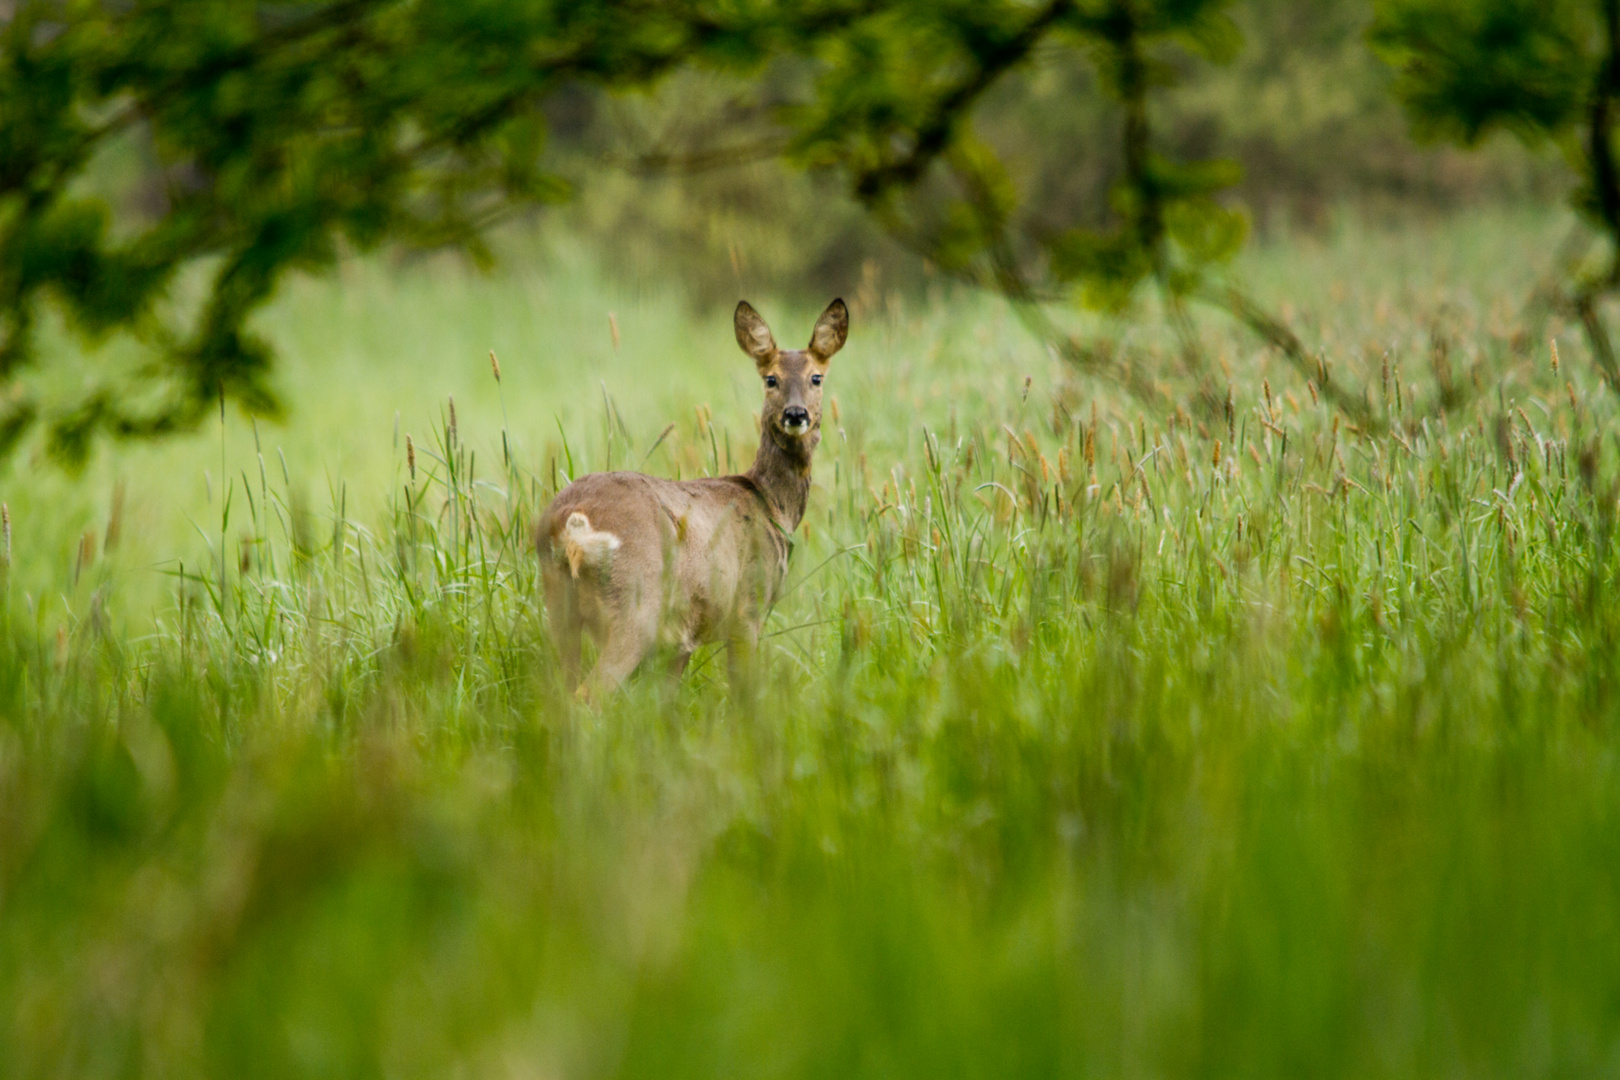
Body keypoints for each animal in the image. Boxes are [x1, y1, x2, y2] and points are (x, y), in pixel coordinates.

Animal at [541, 297, 855, 702]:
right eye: (770, 379)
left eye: (817, 377)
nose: (796, 414)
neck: (771, 504)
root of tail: (570, 524)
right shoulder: (748, 609)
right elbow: (743, 694)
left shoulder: (680, 641)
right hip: (634, 607)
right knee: (587, 696)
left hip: (559, 606)